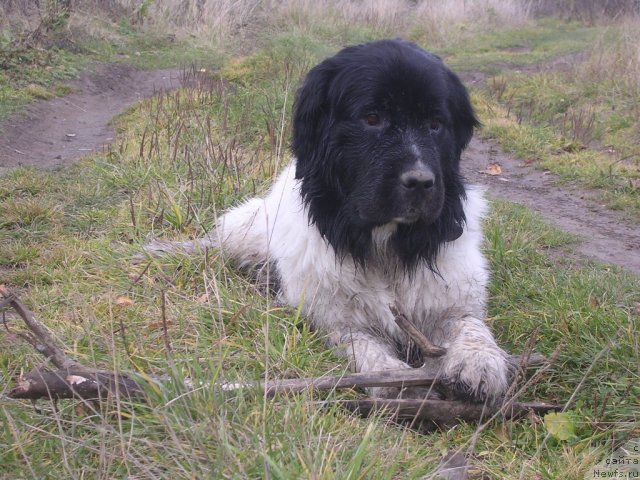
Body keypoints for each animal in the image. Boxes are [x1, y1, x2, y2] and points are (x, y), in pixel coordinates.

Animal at [146, 39, 510, 404]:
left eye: (435, 125)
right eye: (372, 118)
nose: (421, 182)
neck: (383, 246)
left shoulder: (454, 295)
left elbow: (469, 324)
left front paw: (479, 361)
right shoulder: (331, 316)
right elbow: (361, 344)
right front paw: (395, 380)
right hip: (247, 224)